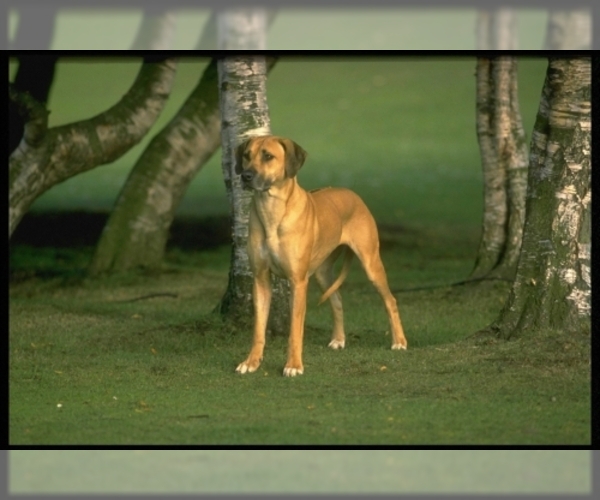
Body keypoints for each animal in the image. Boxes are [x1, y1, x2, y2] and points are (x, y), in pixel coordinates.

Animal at [232, 135, 406, 376]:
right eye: (246, 156)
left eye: (268, 156)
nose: (245, 176)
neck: (272, 210)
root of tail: (352, 193)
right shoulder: (260, 278)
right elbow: (258, 329)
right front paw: (251, 362)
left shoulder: (298, 281)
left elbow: (295, 330)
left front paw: (293, 365)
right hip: (323, 273)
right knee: (337, 298)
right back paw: (339, 339)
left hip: (371, 263)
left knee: (390, 300)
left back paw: (399, 341)